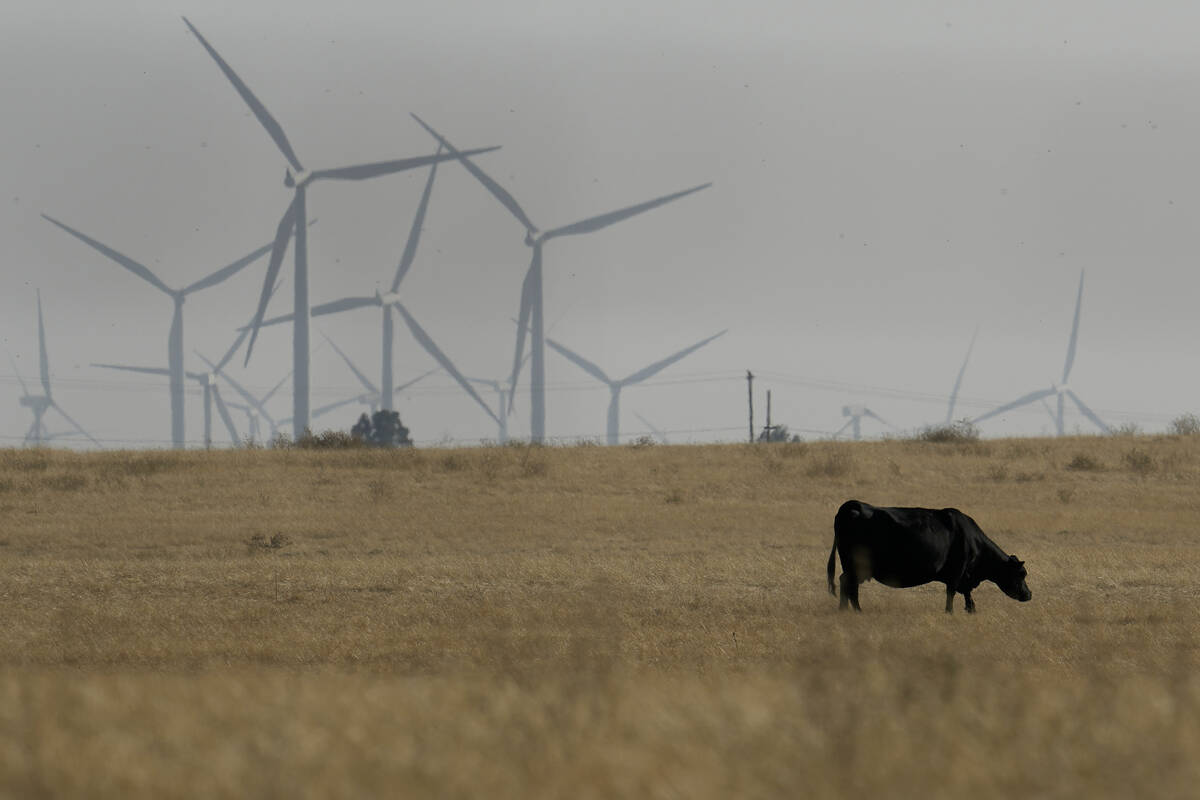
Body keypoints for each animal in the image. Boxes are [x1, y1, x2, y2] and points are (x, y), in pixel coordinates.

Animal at [825, 501, 1032, 614]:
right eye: (1021, 574)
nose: (1028, 594)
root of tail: (854, 505)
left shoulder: (964, 576)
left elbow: (966, 593)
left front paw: (971, 609)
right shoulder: (958, 572)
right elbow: (952, 592)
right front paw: (950, 612)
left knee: (846, 583)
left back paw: (845, 610)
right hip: (856, 565)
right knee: (849, 585)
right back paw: (856, 611)